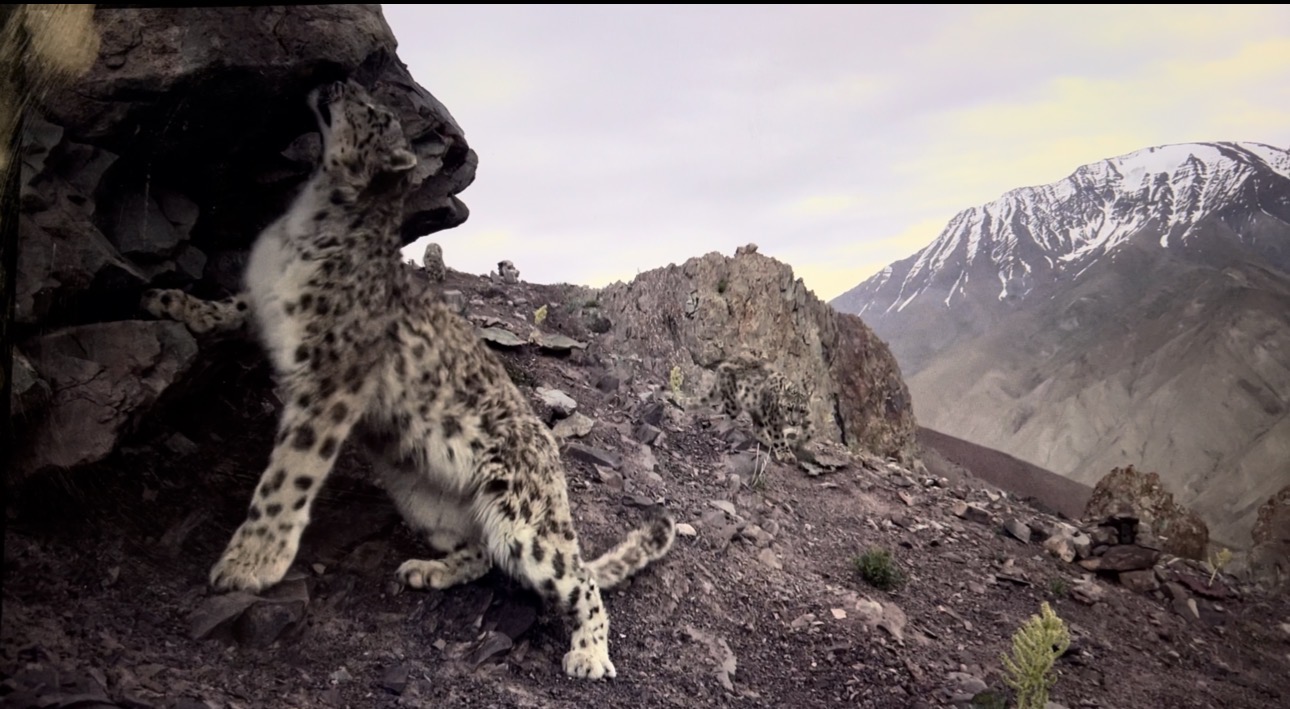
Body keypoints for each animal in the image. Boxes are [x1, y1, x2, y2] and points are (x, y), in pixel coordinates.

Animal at [141, 79, 675, 680]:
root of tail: (551, 458)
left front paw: (251, 562)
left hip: (525, 521)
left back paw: (589, 653)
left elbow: (287, 475)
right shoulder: (260, 297)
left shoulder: (333, 378)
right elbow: (227, 306)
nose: (338, 82)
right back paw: (428, 569)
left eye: (374, 112)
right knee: (483, 552)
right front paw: (171, 302)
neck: (303, 219)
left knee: (576, 576)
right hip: (429, 506)